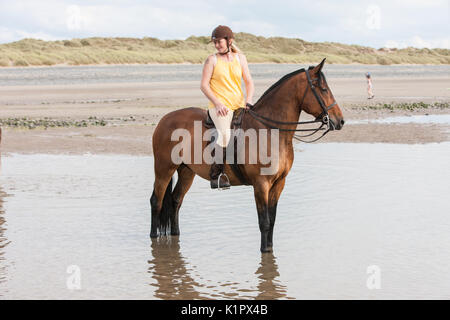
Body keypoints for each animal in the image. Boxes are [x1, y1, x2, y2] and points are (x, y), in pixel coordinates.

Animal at [150, 57, 344, 252]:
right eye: (323, 89)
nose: (340, 121)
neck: (270, 130)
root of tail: (164, 119)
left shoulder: (279, 183)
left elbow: (272, 220)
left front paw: (270, 250)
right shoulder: (261, 184)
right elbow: (264, 222)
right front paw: (265, 251)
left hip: (187, 171)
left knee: (176, 200)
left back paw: (175, 235)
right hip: (164, 169)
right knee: (156, 201)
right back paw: (153, 237)